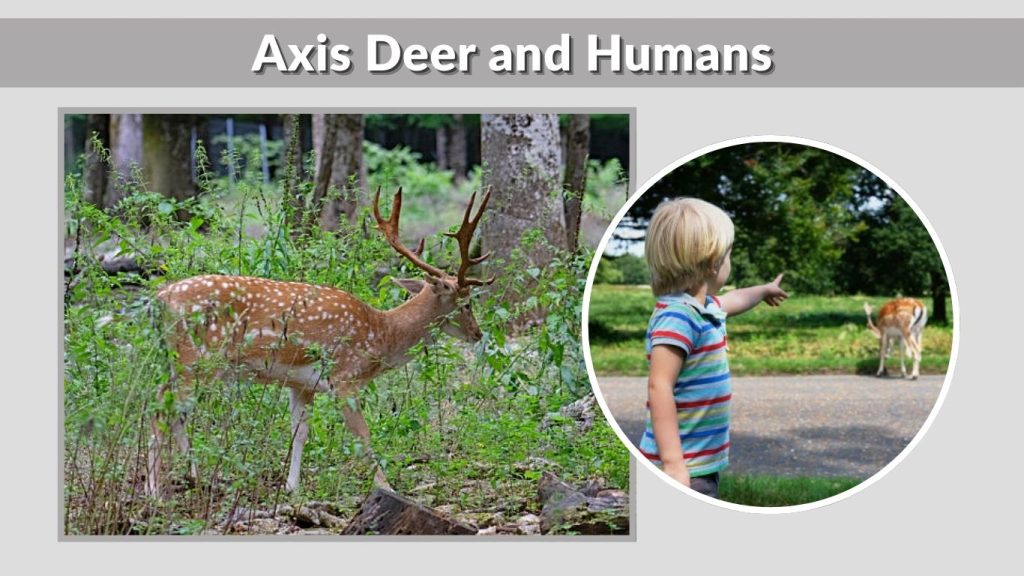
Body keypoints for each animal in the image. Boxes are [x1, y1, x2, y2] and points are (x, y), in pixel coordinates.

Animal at [145, 187, 494, 498]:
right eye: (465, 303)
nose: (478, 333)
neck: (381, 334)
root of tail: (160, 298)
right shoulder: (344, 377)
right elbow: (363, 436)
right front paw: (386, 486)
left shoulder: (301, 384)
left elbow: (299, 433)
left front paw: (291, 488)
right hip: (195, 358)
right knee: (161, 409)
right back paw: (155, 491)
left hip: (180, 360)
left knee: (171, 410)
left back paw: (194, 476)